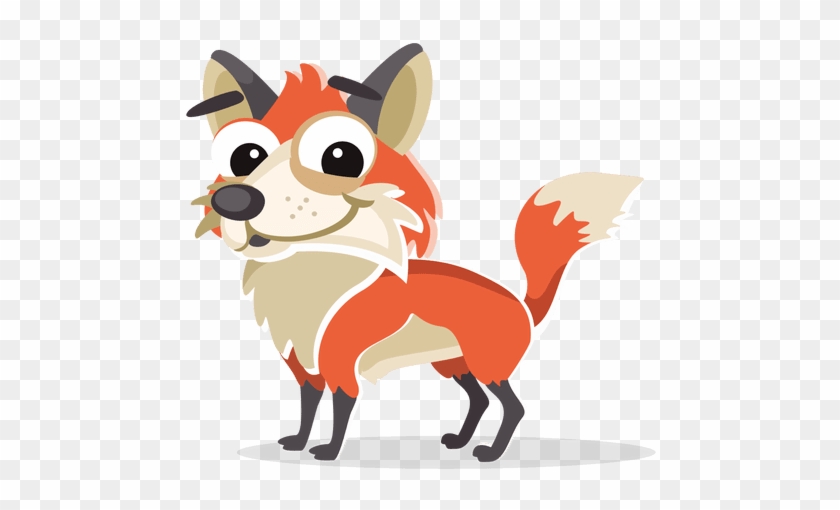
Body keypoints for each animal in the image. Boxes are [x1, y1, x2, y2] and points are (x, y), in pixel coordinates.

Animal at [186, 43, 642, 462]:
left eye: (340, 156)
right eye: (245, 156)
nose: (235, 200)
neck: (307, 280)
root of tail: (523, 304)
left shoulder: (339, 367)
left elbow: (340, 410)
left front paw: (328, 451)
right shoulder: (306, 371)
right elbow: (307, 409)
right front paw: (298, 443)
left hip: (486, 364)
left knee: (513, 407)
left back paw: (491, 452)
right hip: (454, 364)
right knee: (479, 400)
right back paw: (460, 441)